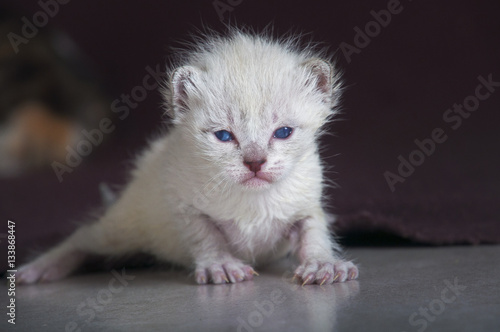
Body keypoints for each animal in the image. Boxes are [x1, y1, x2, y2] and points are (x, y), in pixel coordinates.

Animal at [16, 29, 360, 286]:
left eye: (283, 132)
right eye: (224, 136)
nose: (255, 163)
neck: (253, 203)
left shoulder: (307, 205)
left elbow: (314, 233)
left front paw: (323, 264)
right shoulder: (182, 203)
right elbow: (205, 235)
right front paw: (220, 264)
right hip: (123, 228)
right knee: (82, 237)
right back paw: (38, 270)